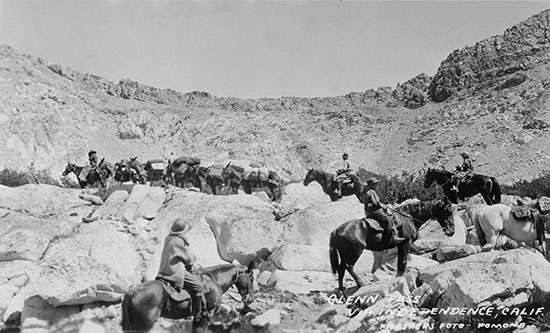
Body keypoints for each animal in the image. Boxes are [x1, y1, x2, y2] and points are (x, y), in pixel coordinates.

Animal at [122, 264, 256, 330]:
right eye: (252, 278)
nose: (251, 299)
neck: (215, 280)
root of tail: (133, 291)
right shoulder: (206, 315)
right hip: (145, 324)